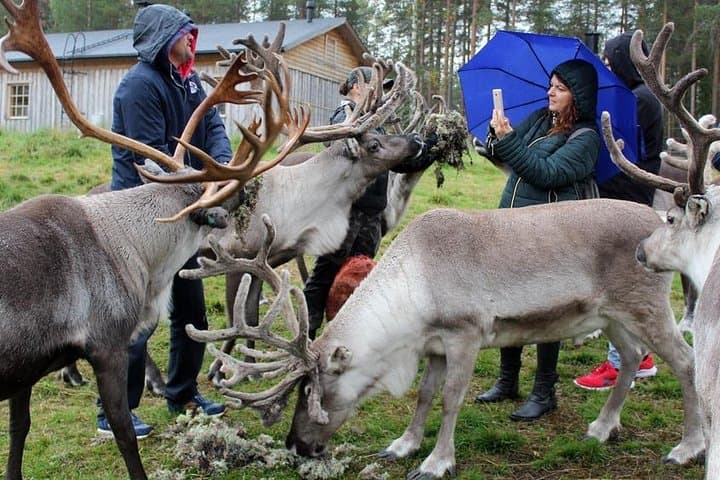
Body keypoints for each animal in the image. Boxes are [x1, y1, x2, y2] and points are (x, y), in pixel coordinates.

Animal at [0, 2, 311, 479]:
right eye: (229, 195)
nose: (252, 192)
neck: (132, 249)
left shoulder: (26, 365)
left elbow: (19, 431)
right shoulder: (106, 344)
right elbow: (124, 432)